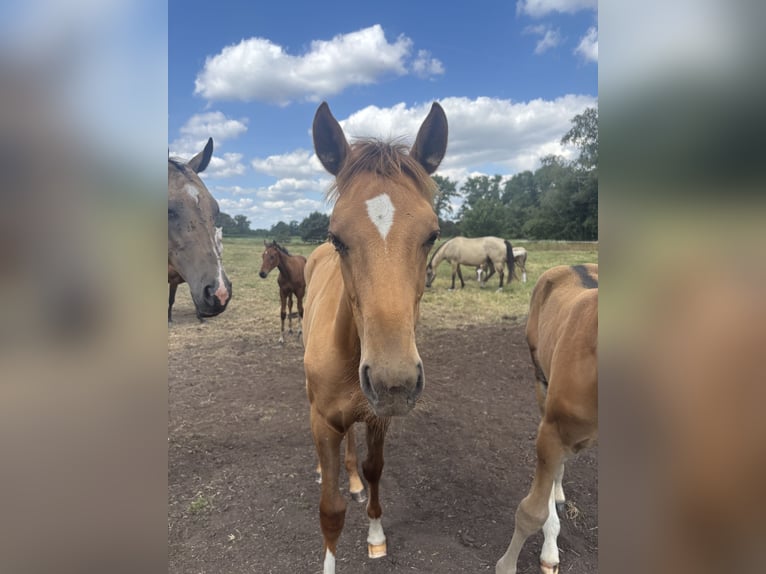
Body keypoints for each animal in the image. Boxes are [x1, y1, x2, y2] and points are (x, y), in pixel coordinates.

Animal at [303, 101, 447, 574]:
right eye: (336, 237)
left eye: (433, 235)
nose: (393, 382)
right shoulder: (324, 421)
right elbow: (329, 511)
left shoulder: (379, 418)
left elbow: (374, 470)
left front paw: (377, 536)